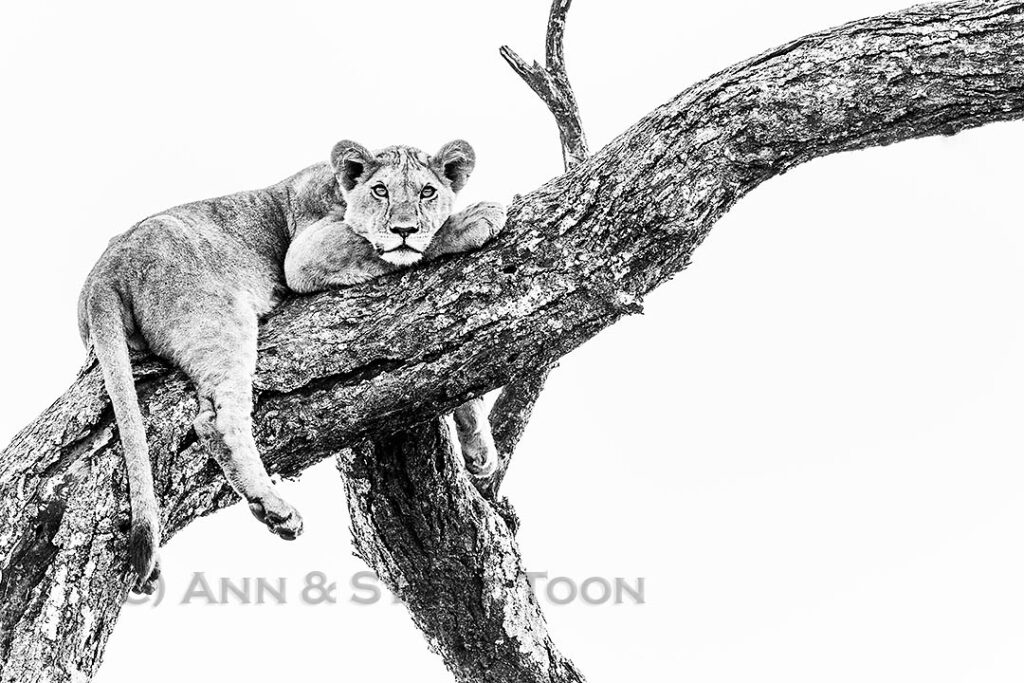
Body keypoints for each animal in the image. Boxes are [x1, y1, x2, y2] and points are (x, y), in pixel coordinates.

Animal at [78, 139, 505, 591]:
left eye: (427, 192)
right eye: (381, 191)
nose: (404, 228)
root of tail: (105, 272)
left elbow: (458, 382)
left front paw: (480, 450)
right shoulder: (303, 256)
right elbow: (389, 249)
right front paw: (473, 219)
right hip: (221, 321)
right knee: (218, 420)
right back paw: (275, 508)